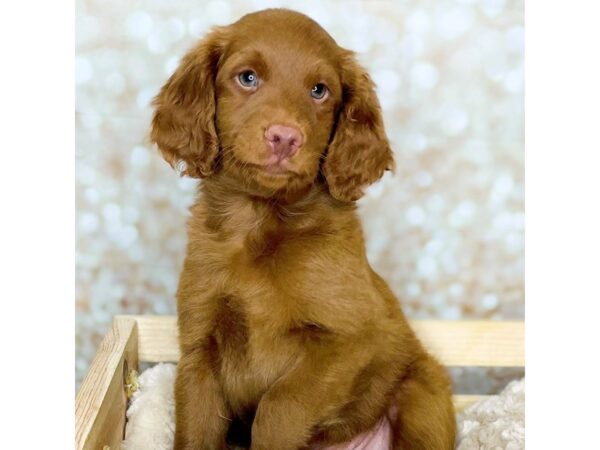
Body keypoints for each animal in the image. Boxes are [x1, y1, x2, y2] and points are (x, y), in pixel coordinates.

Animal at [150, 7, 454, 450]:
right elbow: (196, 427)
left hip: (422, 396)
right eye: (247, 78)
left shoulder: (349, 339)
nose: (285, 137)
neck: (261, 222)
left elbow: (279, 406)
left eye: (319, 91)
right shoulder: (198, 349)